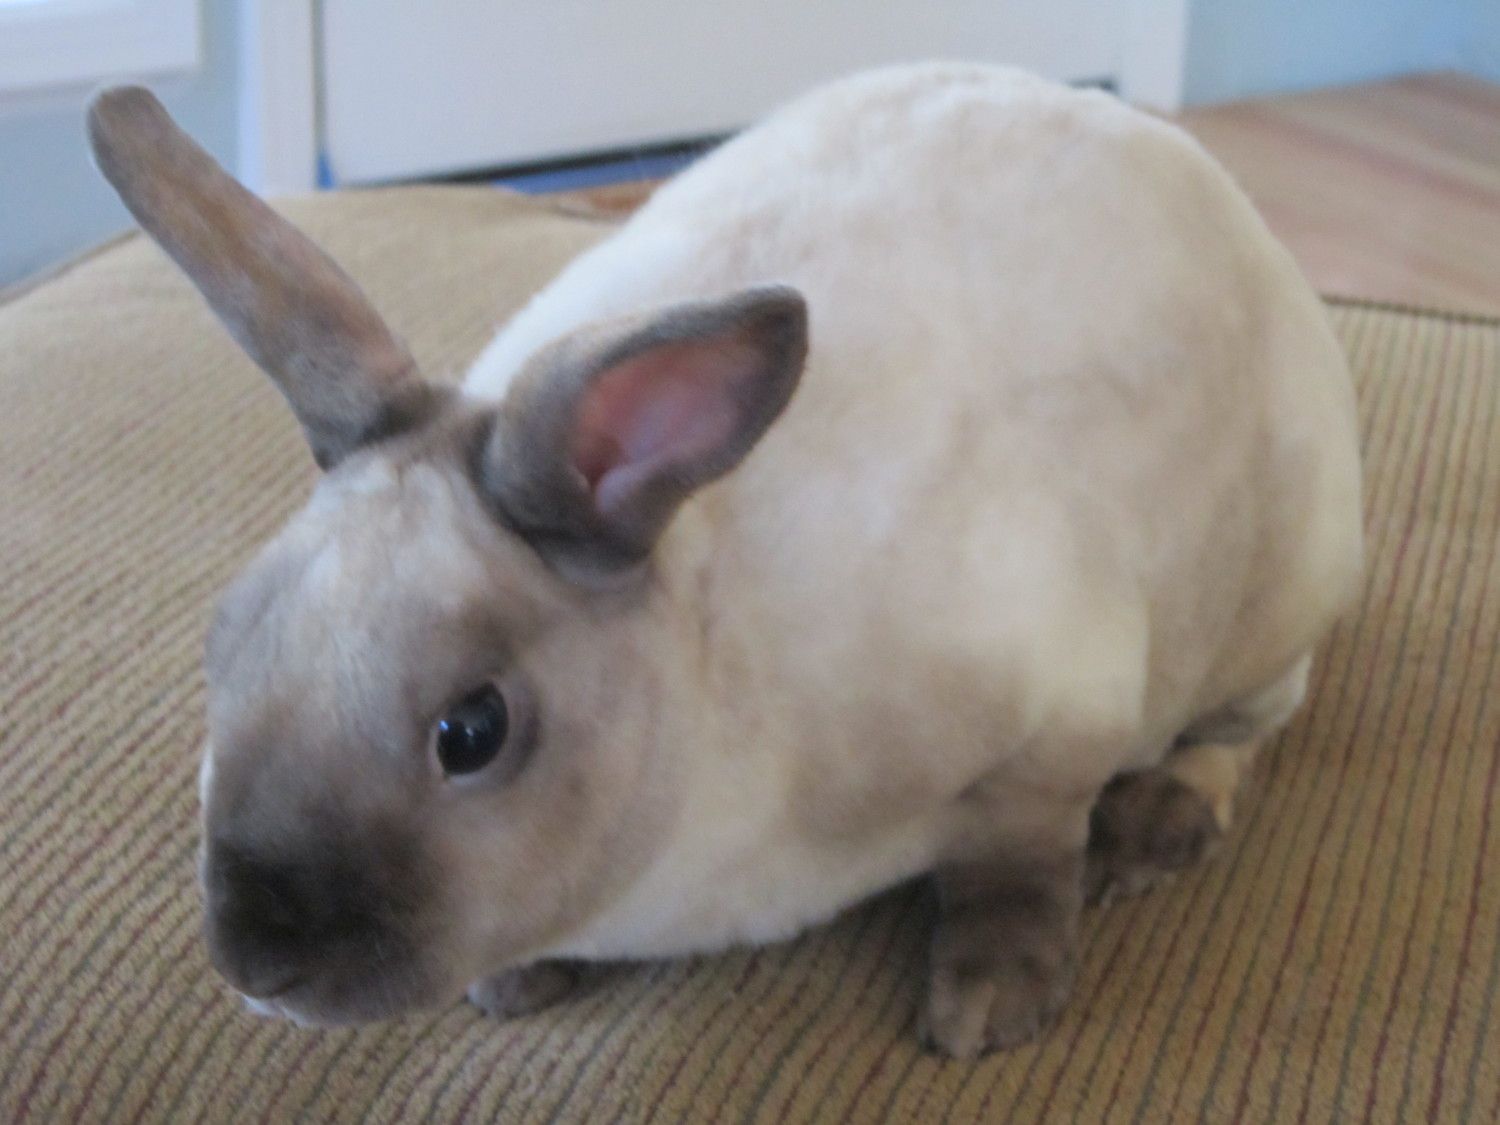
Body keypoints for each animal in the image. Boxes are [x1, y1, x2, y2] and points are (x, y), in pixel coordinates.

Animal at [87, 61, 1362, 1058]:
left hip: (1281, 600)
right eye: (223, 645)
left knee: (1243, 731)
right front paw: (515, 981)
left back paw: (1154, 831)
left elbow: (1020, 862)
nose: (254, 962)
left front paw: (993, 1004)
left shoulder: (1057, 729)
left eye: (472, 730)